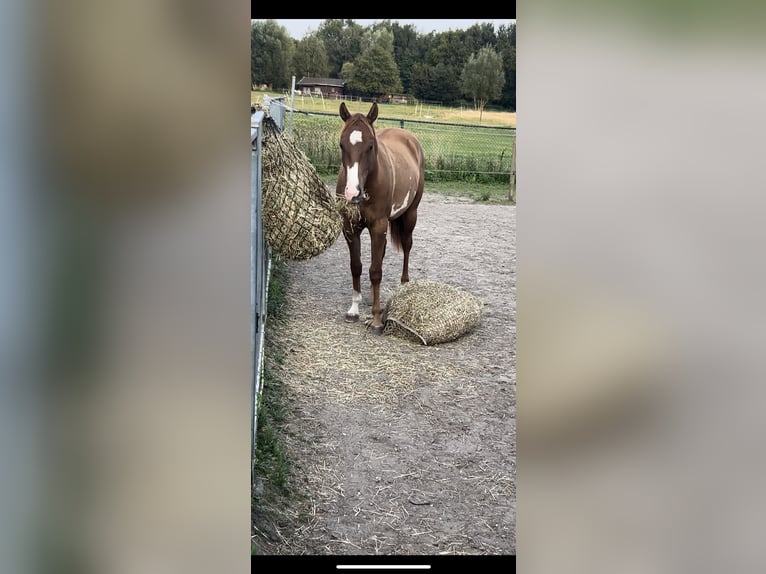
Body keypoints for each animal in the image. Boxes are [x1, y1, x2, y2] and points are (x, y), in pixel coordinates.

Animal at [338, 102, 426, 336]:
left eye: (370, 146)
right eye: (341, 145)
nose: (352, 193)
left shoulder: (378, 226)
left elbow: (376, 271)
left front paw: (377, 319)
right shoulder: (350, 227)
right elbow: (357, 266)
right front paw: (354, 310)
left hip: (410, 216)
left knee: (407, 246)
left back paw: (404, 285)